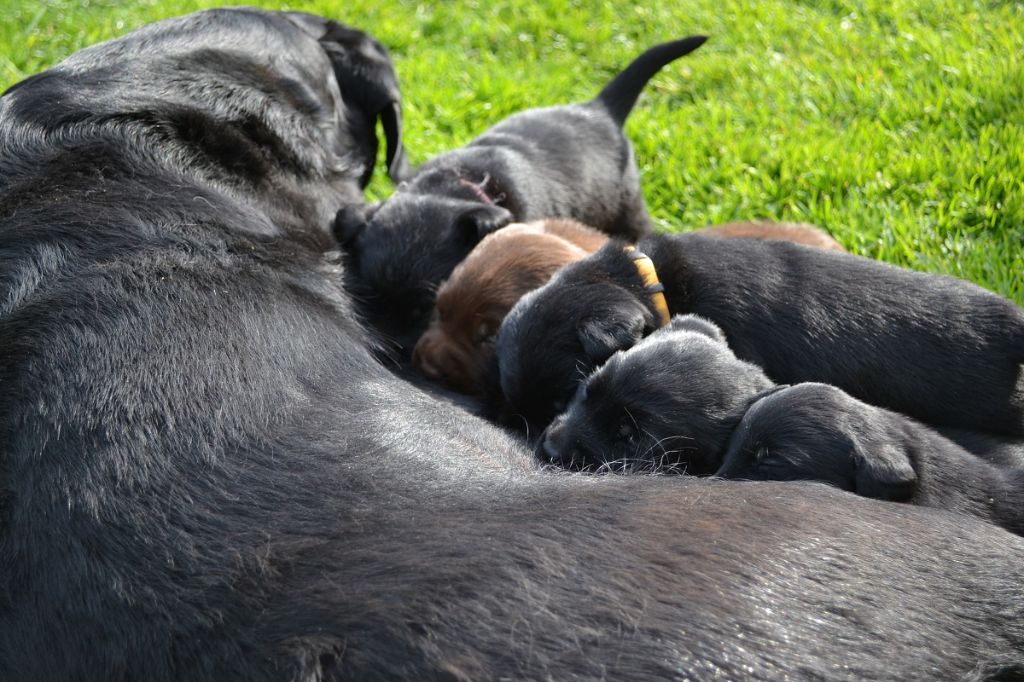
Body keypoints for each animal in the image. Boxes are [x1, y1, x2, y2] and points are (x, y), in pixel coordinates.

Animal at [339, 35, 708, 350]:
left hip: (627, 209)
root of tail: (598, 109)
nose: (396, 348)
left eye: (425, 308)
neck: (460, 184)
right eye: (371, 304)